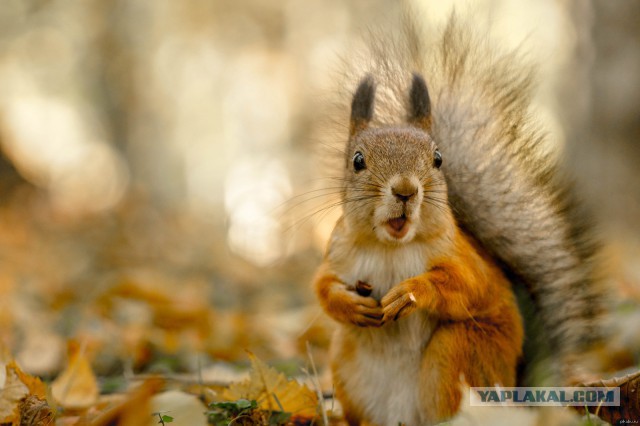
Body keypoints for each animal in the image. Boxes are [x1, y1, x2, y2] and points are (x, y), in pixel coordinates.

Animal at [312, 11, 604, 424]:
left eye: (438, 159)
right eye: (356, 160)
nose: (406, 190)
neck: (390, 248)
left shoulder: (461, 256)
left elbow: (467, 285)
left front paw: (412, 291)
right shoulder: (338, 252)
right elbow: (322, 286)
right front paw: (347, 303)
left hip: (458, 352)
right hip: (345, 367)